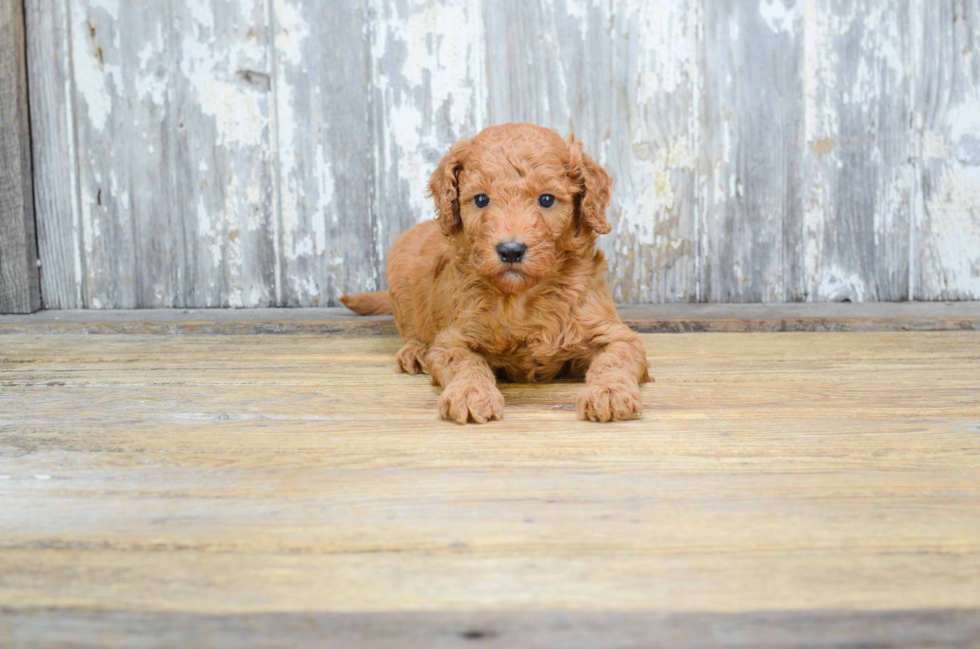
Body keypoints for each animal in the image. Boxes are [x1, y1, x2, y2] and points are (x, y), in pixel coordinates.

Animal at [344, 123, 652, 422]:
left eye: (547, 199)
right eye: (481, 200)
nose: (511, 250)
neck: (520, 299)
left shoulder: (614, 332)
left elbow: (614, 359)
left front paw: (609, 392)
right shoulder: (452, 339)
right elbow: (466, 362)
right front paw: (469, 393)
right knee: (410, 328)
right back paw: (416, 351)